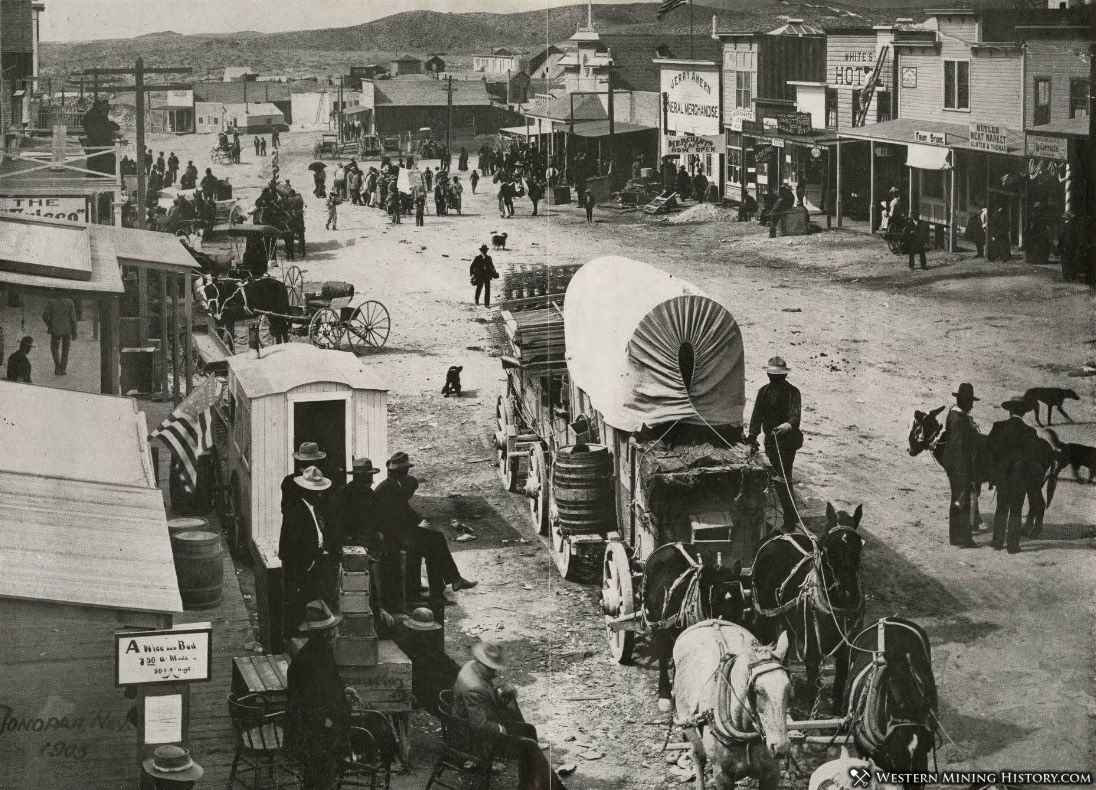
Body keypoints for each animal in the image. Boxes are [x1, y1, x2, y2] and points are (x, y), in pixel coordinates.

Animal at [640, 545, 754, 710]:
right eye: (714, 599)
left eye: (741, 599)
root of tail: (669, 545)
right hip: (657, 622)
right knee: (662, 653)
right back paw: (665, 693)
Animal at [670, 617, 793, 784]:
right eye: (757, 690)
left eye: (788, 687)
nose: (781, 747)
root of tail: (712, 620)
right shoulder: (722, 776)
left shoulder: (772, 773)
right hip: (688, 724)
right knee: (698, 757)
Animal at [754, 506, 863, 714]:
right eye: (827, 547)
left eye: (859, 546)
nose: (846, 590)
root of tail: (779, 536)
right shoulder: (812, 649)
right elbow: (813, 686)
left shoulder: (845, 650)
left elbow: (840, 682)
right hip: (767, 615)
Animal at [903, 407, 1056, 536]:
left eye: (915, 428)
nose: (910, 450)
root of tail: (1049, 450)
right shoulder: (975, 480)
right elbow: (974, 497)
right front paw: (976, 522)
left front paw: (971, 525)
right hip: (1032, 485)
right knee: (1033, 505)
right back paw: (1025, 530)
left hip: (1033, 484)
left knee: (1040, 504)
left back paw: (1034, 533)